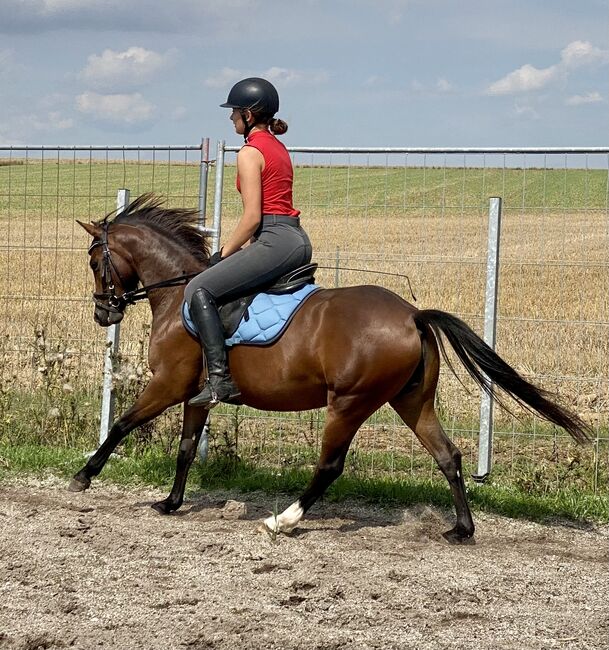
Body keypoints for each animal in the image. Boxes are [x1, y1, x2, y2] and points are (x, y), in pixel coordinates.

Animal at [70, 192, 588, 540]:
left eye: (95, 263)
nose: (102, 314)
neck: (180, 292)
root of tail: (412, 314)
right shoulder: (197, 394)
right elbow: (184, 448)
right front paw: (171, 502)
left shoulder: (168, 384)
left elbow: (121, 424)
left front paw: (84, 476)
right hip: (411, 401)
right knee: (448, 455)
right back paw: (461, 528)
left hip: (350, 403)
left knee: (330, 465)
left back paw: (283, 520)